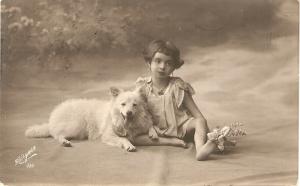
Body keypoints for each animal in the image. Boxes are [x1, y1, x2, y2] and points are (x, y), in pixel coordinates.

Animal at [25, 87, 185, 151]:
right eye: (123, 104)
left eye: (135, 105)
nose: (129, 113)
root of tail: (53, 116)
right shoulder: (109, 135)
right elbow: (123, 138)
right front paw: (128, 145)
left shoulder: (139, 128)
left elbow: (150, 125)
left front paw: (153, 133)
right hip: (75, 126)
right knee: (57, 134)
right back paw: (64, 141)